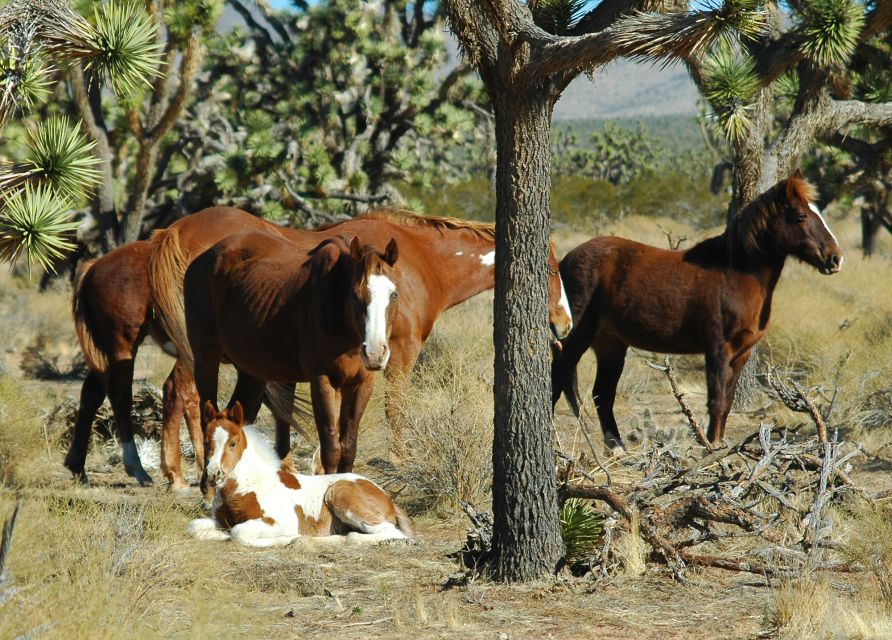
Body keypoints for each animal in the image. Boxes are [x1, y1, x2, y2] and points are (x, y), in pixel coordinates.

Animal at [185, 232, 400, 478]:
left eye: (394, 294)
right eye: (355, 295)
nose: (375, 353)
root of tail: (203, 258)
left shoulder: (362, 384)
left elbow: (348, 448)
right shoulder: (322, 381)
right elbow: (331, 449)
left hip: (252, 372)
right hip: (206, 359)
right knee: (206, 421)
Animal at [190, 402, 412, 548]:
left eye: (233, 443)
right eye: (206, 442)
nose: (213, 474)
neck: (246, 485)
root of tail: (386, 498)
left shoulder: (280, 521)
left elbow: (238, 532)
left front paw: (290, 539)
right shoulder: (220, 520)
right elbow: (194, 527)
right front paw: (220, 535)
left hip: (340, 495)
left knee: (391, 533)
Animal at [552, 171, 844, 450]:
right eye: (801, 215)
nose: (835, 258)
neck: (736, 273)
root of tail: (565, 260)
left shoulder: (741, 354)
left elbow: (727, 403)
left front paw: (719, 445)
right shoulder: (718, 350)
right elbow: (716, 400)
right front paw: (710, 449)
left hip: (611, 344)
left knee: (602, 394)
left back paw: (617, 449)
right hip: (576, 338)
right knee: (557, 381)